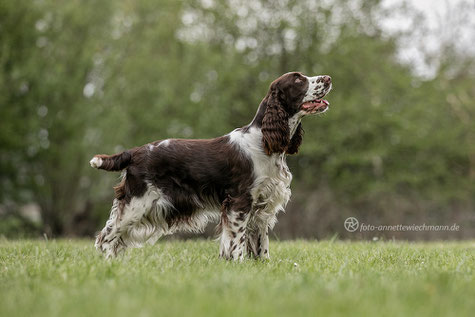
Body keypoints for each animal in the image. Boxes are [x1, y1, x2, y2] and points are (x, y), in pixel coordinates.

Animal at [91, 71, 332, 260]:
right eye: (298, 79)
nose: (328, 78)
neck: (263, 142)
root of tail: (135, 152)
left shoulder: (262, 203)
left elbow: (261, 243)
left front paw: (263, 265)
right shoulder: (239, 201)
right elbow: (236, 241)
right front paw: (238, 264)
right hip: (138, 203)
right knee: (106, 237)